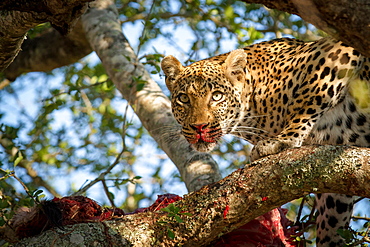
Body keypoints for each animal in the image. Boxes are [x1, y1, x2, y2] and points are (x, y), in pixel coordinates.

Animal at [163, 36, 370, 245]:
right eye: (183, 99)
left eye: (217, 96)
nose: (199, 127)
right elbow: (331, 222)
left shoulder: (337, 50)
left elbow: (307, 100)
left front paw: (282, 141)